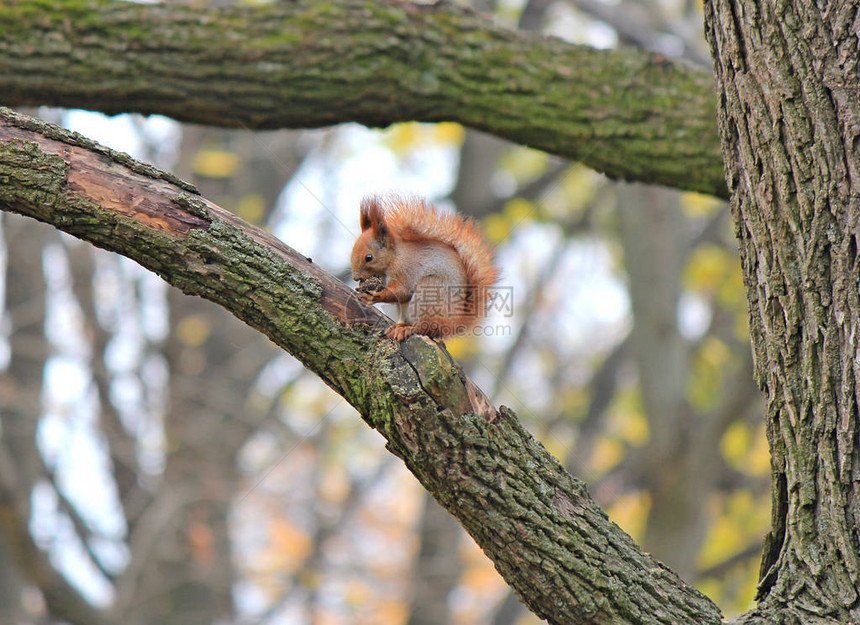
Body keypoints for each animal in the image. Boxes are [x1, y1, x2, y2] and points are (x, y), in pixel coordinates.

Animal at [350, 195, 498, 342]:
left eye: (369, 257)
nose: (356, 278)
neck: (394, 257)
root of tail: (454, 322)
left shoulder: (405, 270)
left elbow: (401, 292)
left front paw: (374, 296)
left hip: (429, 293)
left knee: (428, 328)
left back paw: (409, 329)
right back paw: (399, 326)